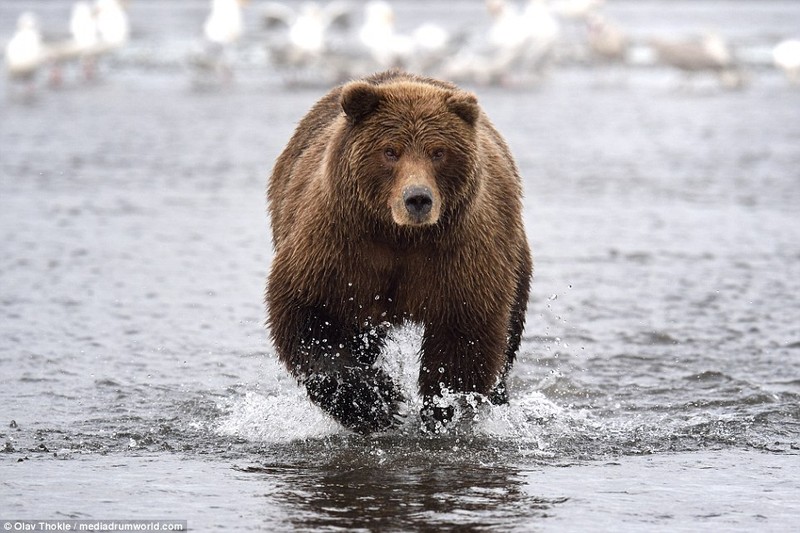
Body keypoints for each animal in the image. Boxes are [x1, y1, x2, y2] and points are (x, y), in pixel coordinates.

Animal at [268, 69, 532, 432]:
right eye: (390, 151)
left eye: (438, 152)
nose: (417, 198)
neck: (401, 237)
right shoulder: (337, 248)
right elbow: (310, 317)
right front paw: (377, 402)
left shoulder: (460, 256)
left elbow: (464, 337)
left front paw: (441, 410)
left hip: (514, 252)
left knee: (510, 327)